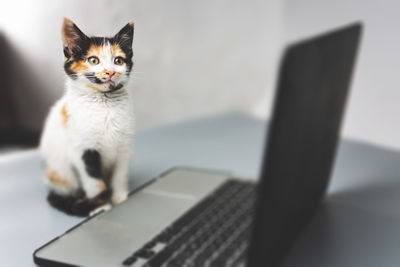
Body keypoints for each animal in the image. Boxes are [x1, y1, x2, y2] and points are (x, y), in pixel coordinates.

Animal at [39, 17, 136, 218]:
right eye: (93, 60)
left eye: (118, 60)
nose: (110, 72)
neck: (105, 104)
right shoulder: (82, 149)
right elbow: (94, 182)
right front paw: (100, 206)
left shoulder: (125, 146)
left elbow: (120, 174)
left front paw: (120, 198)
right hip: (60, 173)